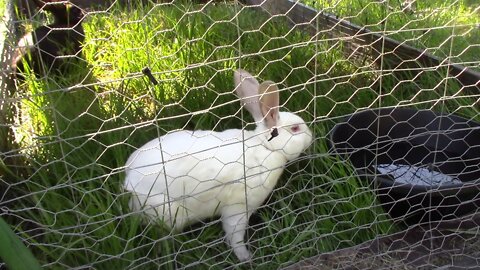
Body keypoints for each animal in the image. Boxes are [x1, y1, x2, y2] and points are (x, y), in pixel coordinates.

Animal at [124, 69, 312, 262]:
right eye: (295, 129)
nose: (311, 137)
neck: (264, 147)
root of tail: (129, 178)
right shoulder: (237, 209)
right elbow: (235, 236)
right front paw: (246, 257)